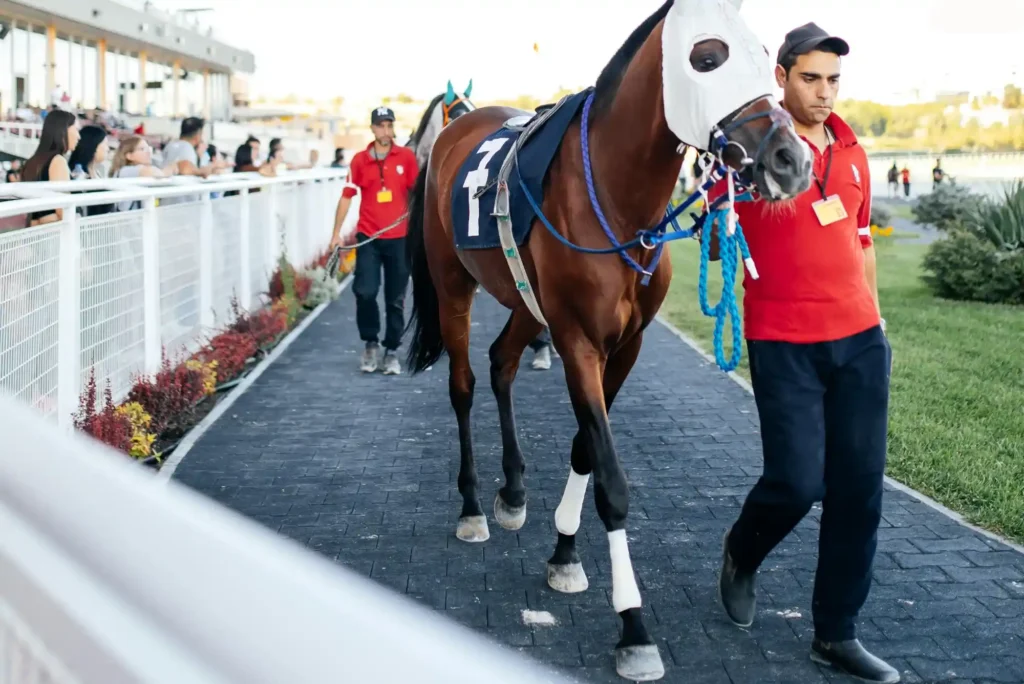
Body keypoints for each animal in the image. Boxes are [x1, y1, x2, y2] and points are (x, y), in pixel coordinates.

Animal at [404, 0, 813, 679]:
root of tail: (459, 129)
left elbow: (583, 450)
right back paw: (473, 508)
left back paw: (513, 490)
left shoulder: (626, 345)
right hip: (452, 285)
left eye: (765, 55)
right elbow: (612, 481)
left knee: (501, 362)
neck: (618, 205)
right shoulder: (578, 342)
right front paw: (633, 625)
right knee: (463, 385)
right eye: (707, 56)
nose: (792, 160)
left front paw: (565, 553)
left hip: (524, 299)